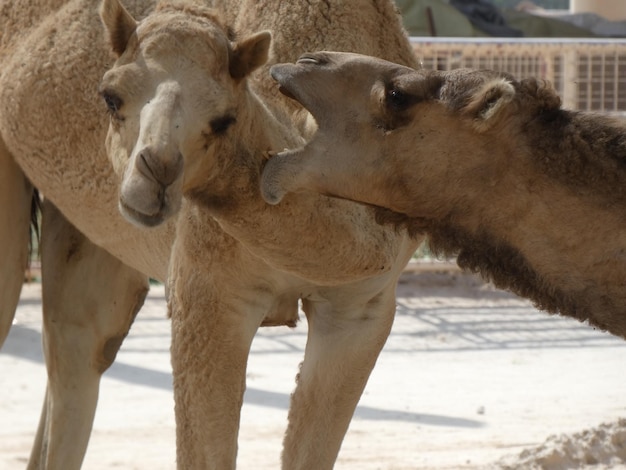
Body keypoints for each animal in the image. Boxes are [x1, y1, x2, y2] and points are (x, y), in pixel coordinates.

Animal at [1, 1, 420, 468]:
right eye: (110, 96)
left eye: (223, 121)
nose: (155, 175)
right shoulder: (207, 294)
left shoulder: (361, 307)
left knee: (80, 340)